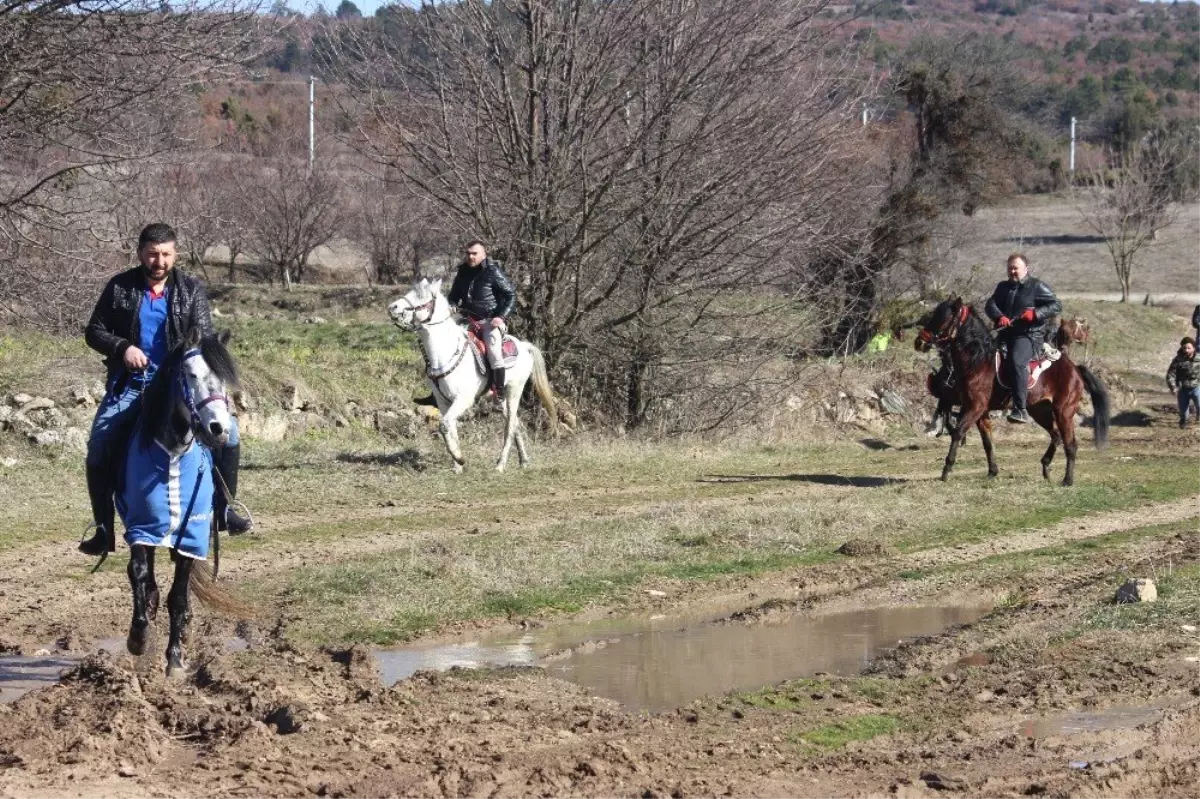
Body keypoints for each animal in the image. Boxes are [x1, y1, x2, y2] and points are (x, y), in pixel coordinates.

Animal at [117, 326, 248, 676]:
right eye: (190, 374)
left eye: (224, 381)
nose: (218, 429)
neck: (172, 453)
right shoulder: (142, 527)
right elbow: (138, 572)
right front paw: (139, 636)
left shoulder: (191, 534)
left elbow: (178, 593)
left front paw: (175, 657)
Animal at [391, 277, 564, 470]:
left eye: (422, 297)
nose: (393, 307)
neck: (445, 352)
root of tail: (524, 346)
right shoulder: (443, 402)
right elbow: (450, 428)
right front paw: (457, 466)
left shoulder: (464, 399)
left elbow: (444, 425)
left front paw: (459, 459)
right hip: (502, 399)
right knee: (516, 424)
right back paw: (523, 461)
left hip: (514, 391)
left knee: (510, 426)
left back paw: (500, 464)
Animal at [921, 297, 1108, 484]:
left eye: (944, 318)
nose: (920, 341)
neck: (978, 362)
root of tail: (1075, 369)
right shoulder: (979, 411)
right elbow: (987, 442)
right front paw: (992, 471)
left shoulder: (975, 408)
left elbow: (958, 432)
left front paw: (946, 470)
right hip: (1040, 410)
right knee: (1056, 435)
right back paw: (1046, 467)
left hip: (1064, 412)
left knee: (1070, 444)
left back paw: (1067, 480)